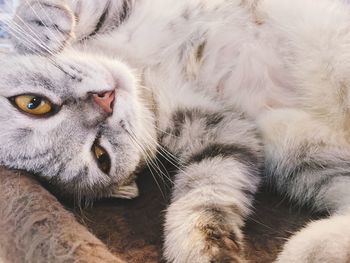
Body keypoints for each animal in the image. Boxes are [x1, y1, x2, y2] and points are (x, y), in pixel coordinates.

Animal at [2, 0, 350, 262]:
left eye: (33, 103)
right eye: (101, 156)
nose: (106, 100)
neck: (141, 71)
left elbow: (82, 11)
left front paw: (40, 22)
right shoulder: (221, 129)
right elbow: (205, 192)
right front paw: (205, 248)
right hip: (295, 145)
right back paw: (308, 249)